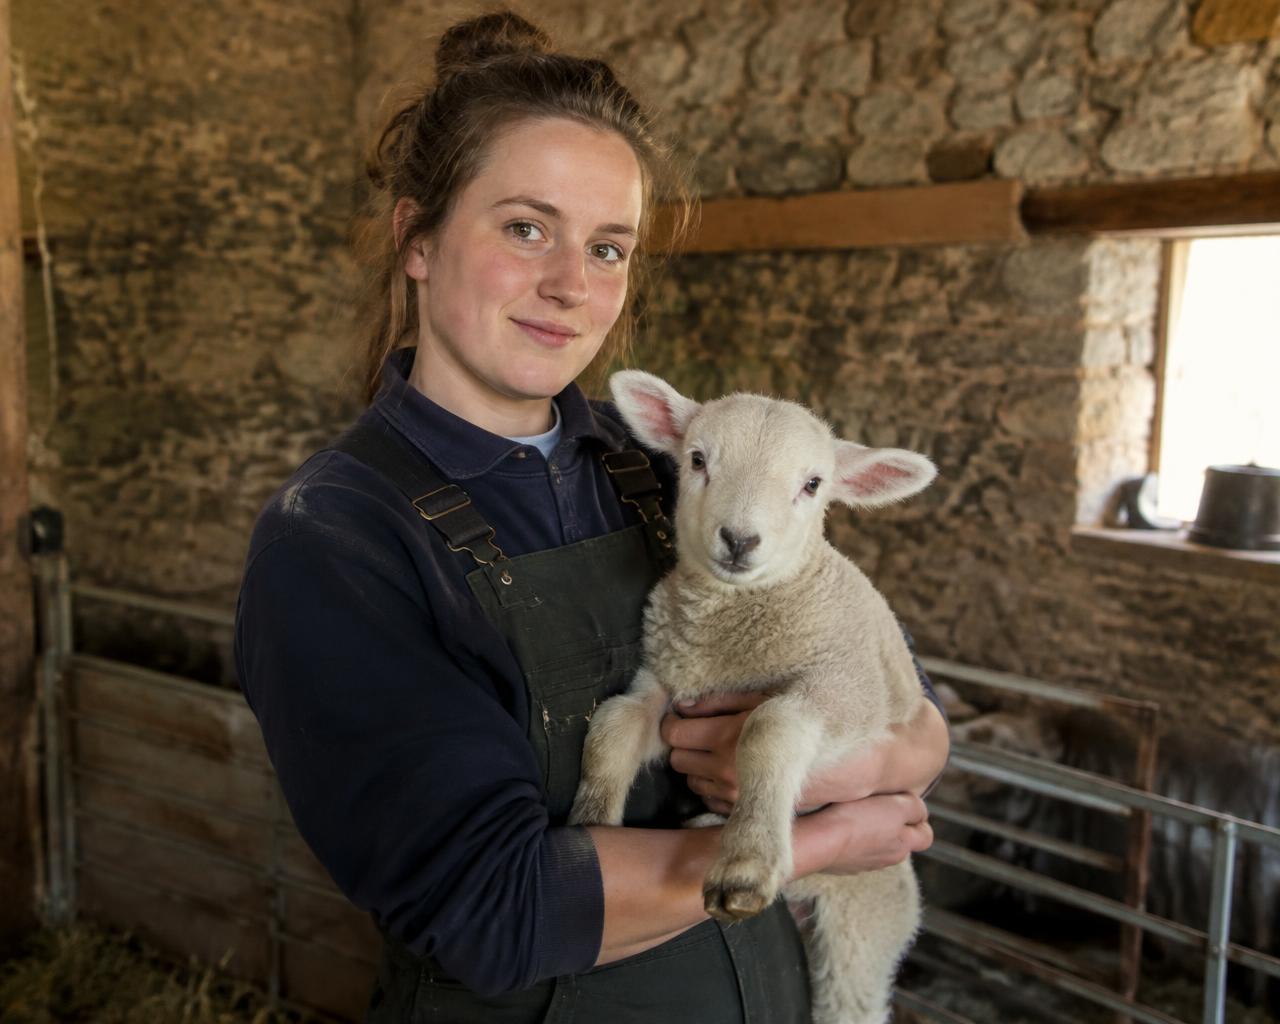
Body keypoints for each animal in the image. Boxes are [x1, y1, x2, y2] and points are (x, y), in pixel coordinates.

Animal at [569, 370, 938, 1024]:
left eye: (813, 484)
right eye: (697, 460)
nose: (740, 540)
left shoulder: (847, 689)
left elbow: (769, 728)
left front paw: (745, 861)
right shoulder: (666, 680)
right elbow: (613, 725)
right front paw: (592, 822)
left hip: (862, 926)